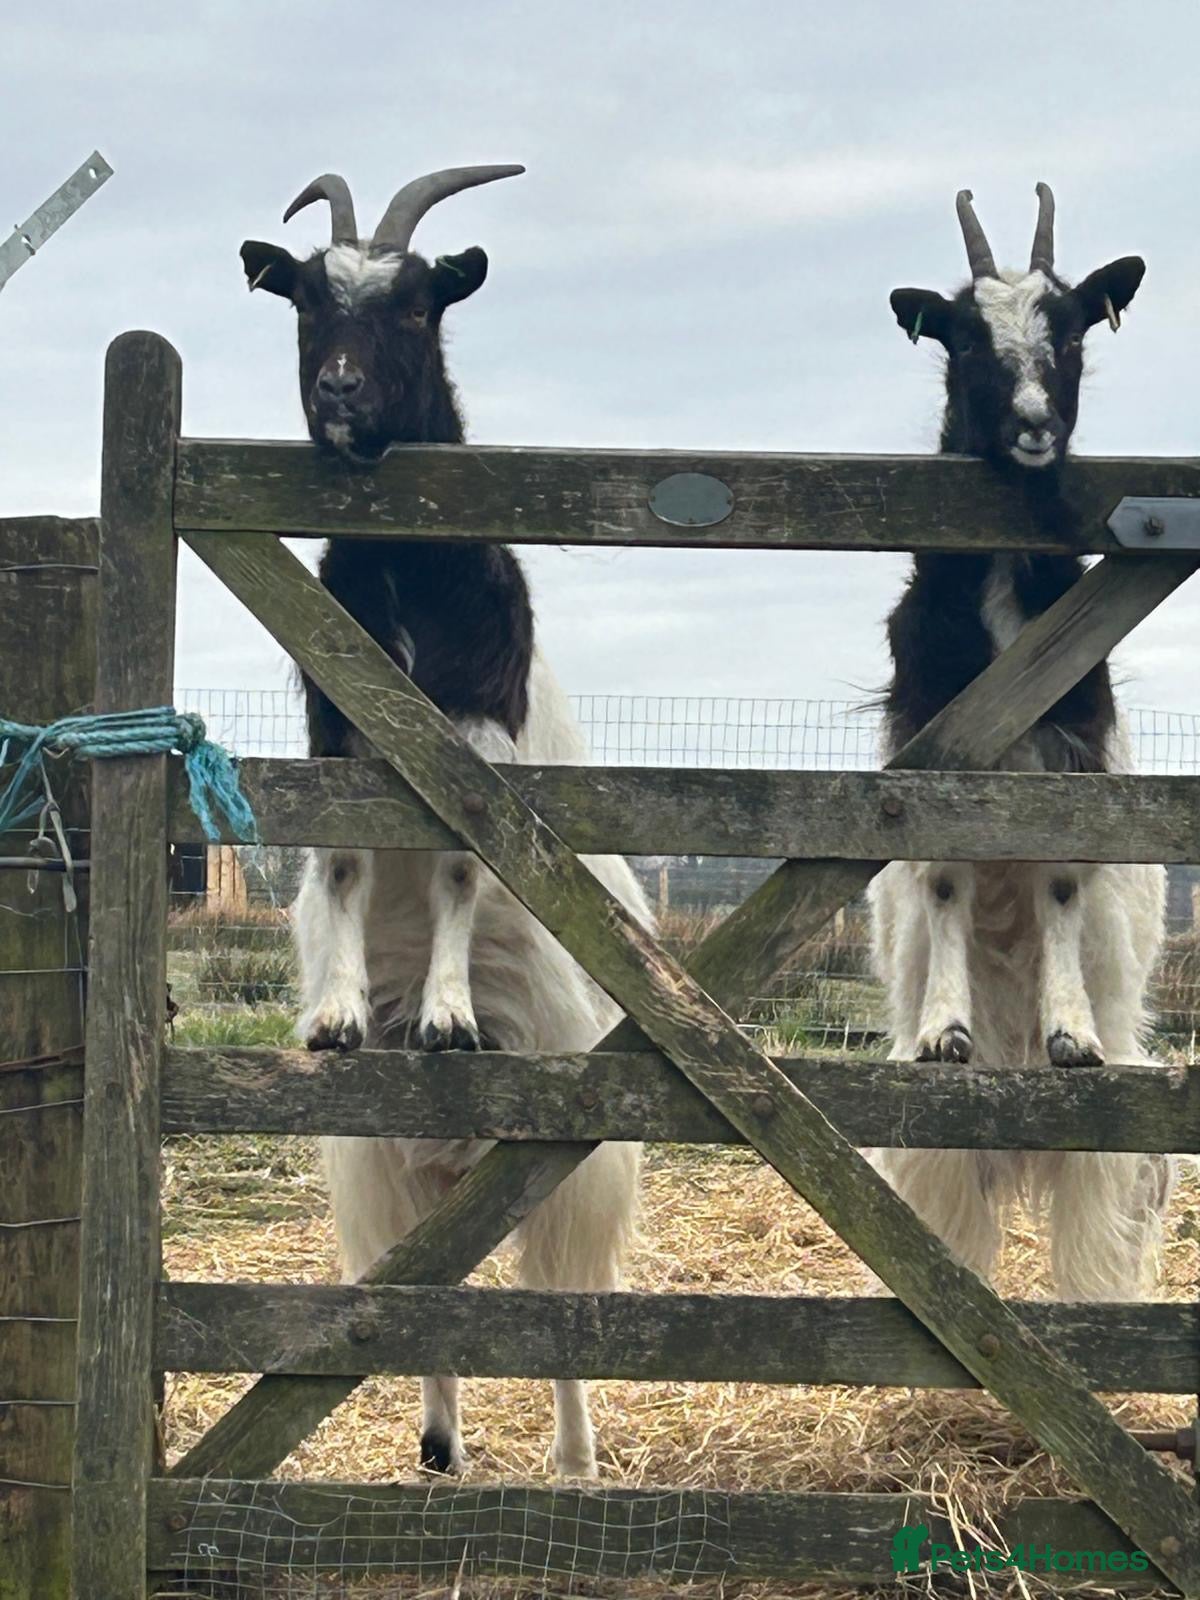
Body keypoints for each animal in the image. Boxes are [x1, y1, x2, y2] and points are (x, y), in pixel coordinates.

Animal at [242, 167, 654, 1477]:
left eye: (419, 305)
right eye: (306, 300)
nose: (339, 394)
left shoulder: (474, 742)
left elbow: (465, 875)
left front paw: (446, 1017)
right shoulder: (337, 738)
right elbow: (343, 864)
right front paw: (336, 1017)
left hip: (568, 1168)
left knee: (563, 1316)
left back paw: (574, 1464)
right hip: (392, 1172)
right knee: (426, 1302)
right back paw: (439, 1451)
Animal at [868, 185, 1173, 1300]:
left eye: (1074, 328)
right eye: (963, 336)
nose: (1035, 427)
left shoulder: (1069, 759)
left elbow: (1061, 886)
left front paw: (1069, 1031)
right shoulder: (933, 755)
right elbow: (950, 880)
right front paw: (946, 1029)